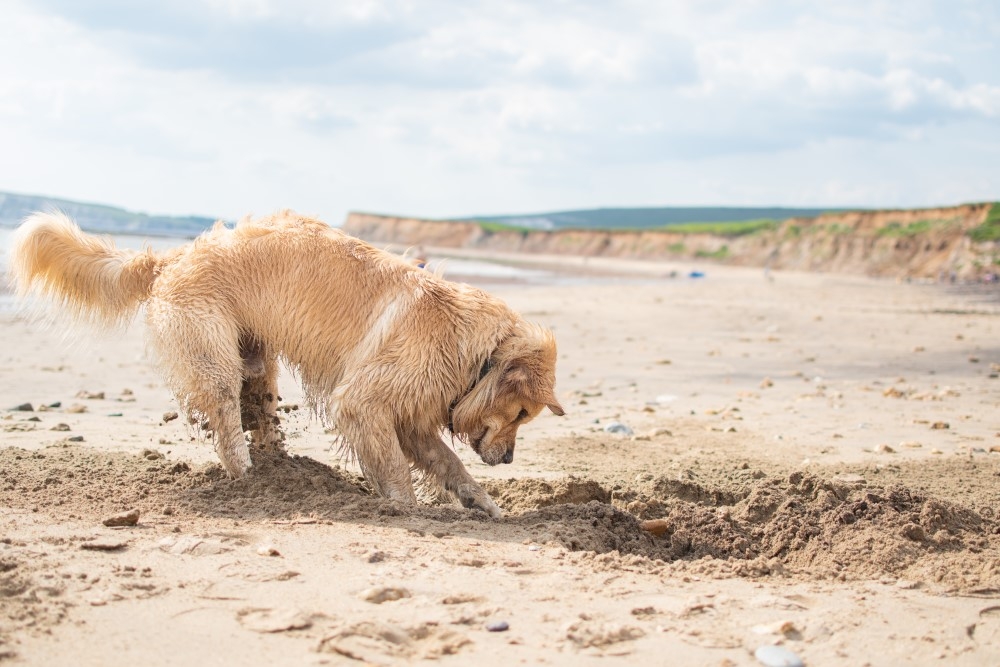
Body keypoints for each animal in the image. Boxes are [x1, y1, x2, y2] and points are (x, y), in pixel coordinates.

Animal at [9, 211, 564, 520]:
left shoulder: (410, 418)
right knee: (226, 427)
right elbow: (395, 468)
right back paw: (251, 480)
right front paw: (402, 509)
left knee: (257, 416)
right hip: (215, 359)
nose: (510, 460)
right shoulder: (364, 402)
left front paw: (483, 504)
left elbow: (450, 466)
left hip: (256, 362)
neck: (476, 352)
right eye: (521, 413)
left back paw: (281, 469)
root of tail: (170, 258)